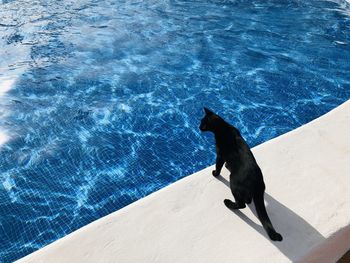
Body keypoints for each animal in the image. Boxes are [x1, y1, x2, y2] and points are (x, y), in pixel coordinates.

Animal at [198, 108, 284, 243]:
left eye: (203, 123)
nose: (198, 127)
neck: (223, 127)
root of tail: (258, 183)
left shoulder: (220, 155)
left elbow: (218, 166)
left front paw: (215, 174)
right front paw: (226, 166)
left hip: (233, 181)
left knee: (241, 204)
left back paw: (228, 203)